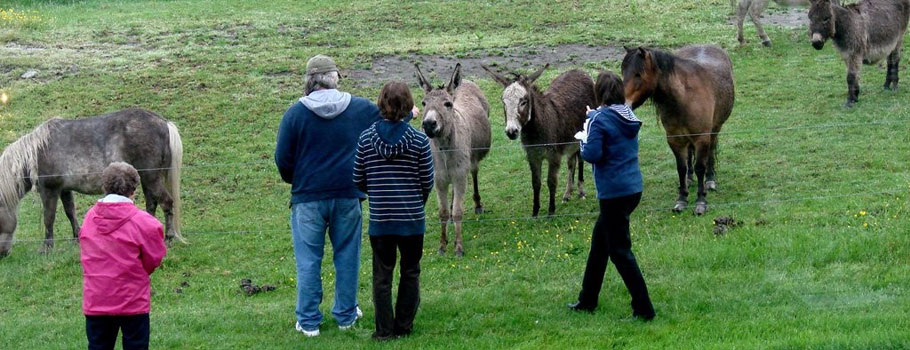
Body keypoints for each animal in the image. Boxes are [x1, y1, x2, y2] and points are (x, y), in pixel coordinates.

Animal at [0, 107, 183, 258]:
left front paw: (46, 248)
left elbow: (49, 218)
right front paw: (77, 238)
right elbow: (70, 213)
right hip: (146, 179)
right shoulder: (64, 190)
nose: (3, 254)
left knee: (166, 202)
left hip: (151, 178)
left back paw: (169, 238)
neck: (39, 151)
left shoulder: (50, 190)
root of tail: (164, 123)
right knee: (152, 204)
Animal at [418, 62, 492, 258]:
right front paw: (443, 246)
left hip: (471, 163)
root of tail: (465, 81)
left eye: (447, 104)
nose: (429, 124)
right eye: (424, 103)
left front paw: (458, 247)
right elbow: (443, 212)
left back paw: (477, 204)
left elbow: (459, 211)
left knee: (474, 173)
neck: (445, 151)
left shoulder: (459, 176)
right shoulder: (439, 179)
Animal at [484, 63, 600, 216]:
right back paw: (567, 194)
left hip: (583, 134)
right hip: (569, 140)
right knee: (571, 162)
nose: (511, 132)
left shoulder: (554, 156)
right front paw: (535, 212)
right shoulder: (533, 156)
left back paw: (581, 192)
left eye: (524, 101)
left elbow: (551, 181)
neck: (536, 131)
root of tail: (579, 71)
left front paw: (551, 211)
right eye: (503, 102)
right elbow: (536, 182)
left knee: (580, 159)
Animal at [624, 45, 736, 216]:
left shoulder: (701, 138)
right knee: (689, 154)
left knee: (710, 152)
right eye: (623, 72)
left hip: (715, 129)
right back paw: (689, 179)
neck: (684, 97)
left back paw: (710, 180)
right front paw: (682, 199)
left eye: (638, 74)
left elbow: (700, 167)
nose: (624, 103)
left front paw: (701, 202)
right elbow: (681, 168)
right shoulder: (675, 139)